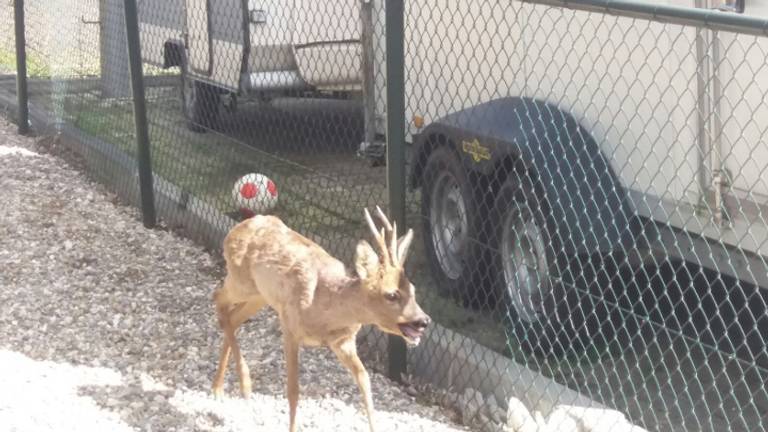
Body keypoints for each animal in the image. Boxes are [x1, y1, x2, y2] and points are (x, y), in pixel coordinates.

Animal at [210, 207, 432, 432]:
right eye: (392, 295)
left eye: (413, 290)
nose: (423, 321)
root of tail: (236, 229)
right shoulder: (290, 326)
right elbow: (293, 391)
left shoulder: (342, 341)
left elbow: (364, 380)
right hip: (241, 281)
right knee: (218, 299)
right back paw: (244, 385)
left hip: (260, 295)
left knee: (232, 317)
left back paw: (218, 389)